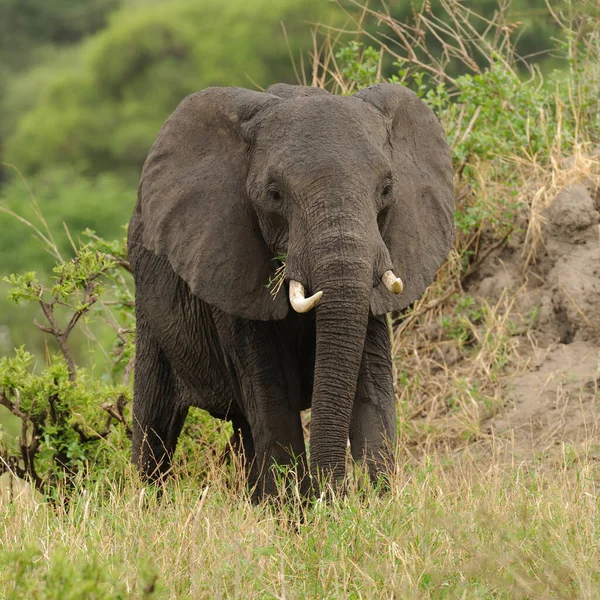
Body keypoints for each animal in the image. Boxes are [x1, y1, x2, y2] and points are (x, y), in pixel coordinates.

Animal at [127, 81, 454, 502]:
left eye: (386, 189)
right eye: (274, 194)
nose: (338, 493)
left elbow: (372, 386)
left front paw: (376, 503)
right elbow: (272, 391)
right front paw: (303, 511)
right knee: (155, 422)